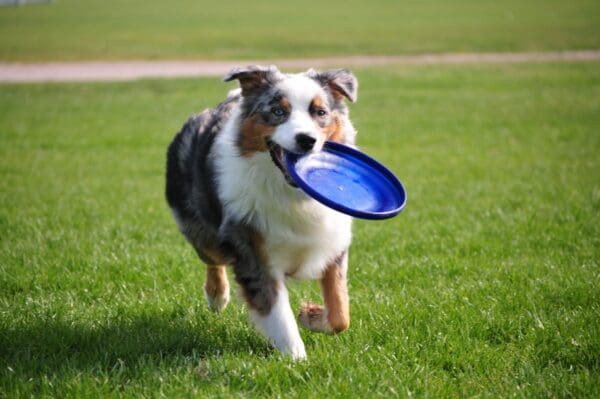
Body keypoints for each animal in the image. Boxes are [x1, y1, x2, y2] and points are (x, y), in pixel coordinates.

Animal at [165, 65, 356, 360]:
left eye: (320, 112)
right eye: (278, 111)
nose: (306, 140)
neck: (290, 194)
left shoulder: (332, 242)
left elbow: (340, 314)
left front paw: (310, 316)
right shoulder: (253, 252)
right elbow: (278, 314)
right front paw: (297, 359)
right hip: (203, 233)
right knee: (212, 259)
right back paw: (217, 297)